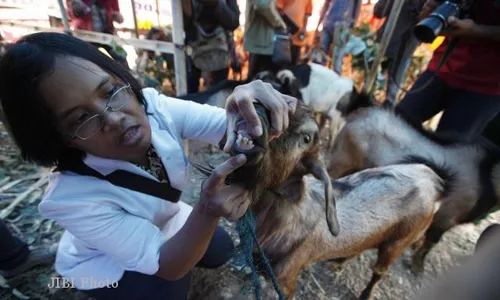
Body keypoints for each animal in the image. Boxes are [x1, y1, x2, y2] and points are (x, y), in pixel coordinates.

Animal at [226, 105, 442, 298]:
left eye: (306, 138)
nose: (258, 110)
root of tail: (431, 179)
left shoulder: (287, 278)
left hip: (398, 243)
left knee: (379, 271)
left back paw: (364, 294)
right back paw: (337, 263)